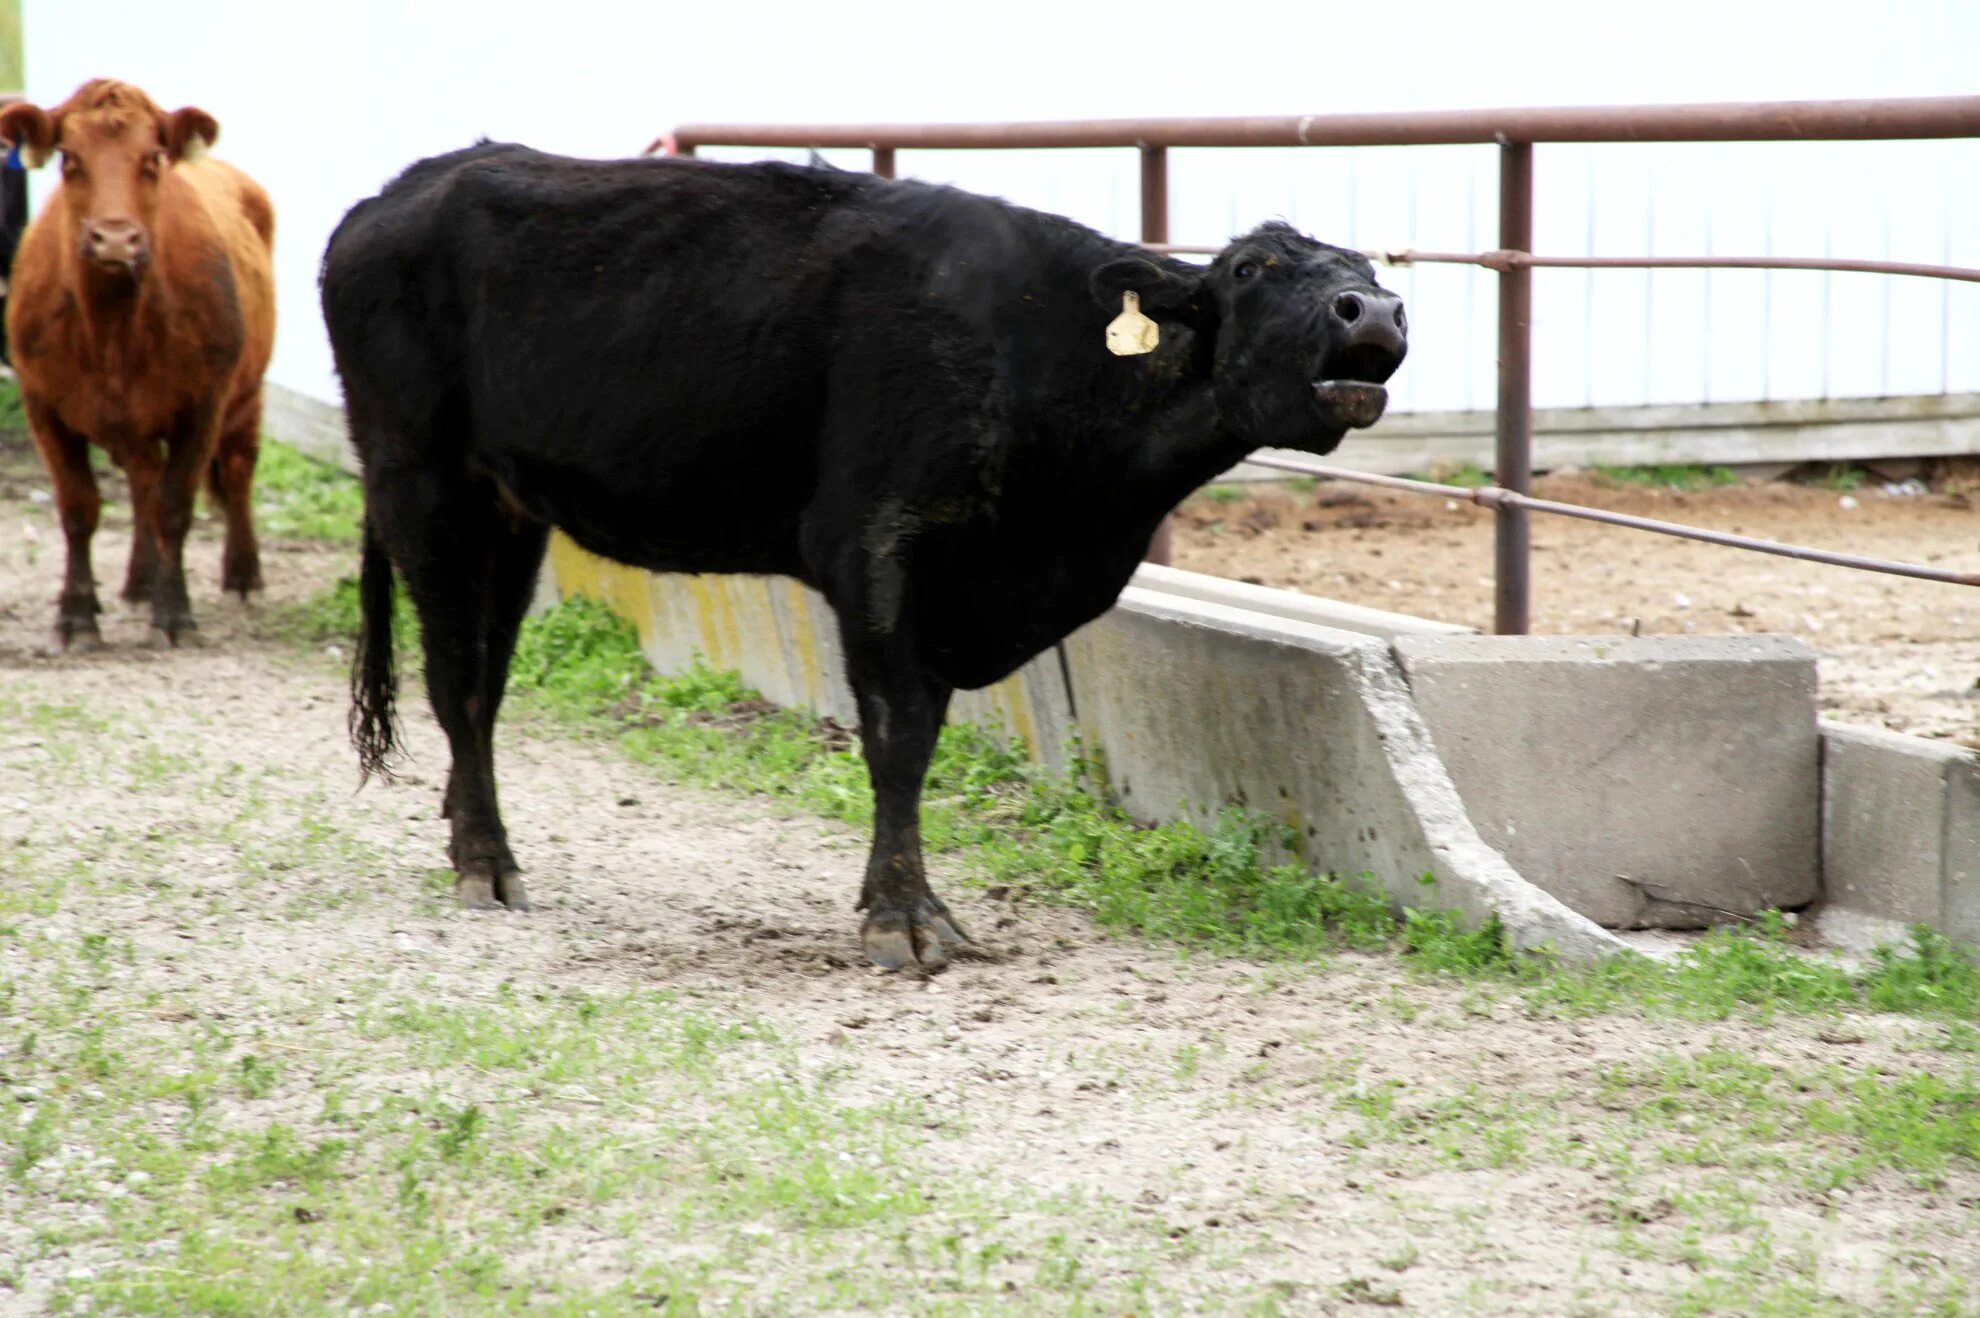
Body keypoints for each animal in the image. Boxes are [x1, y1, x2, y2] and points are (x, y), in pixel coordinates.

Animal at [0, 79, 275, 645]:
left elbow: (174, 507)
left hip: (246, 395)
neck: (113, 331)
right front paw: (77, 614)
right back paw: (139, 581)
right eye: (69, 157)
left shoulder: (203, 405)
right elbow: (79, 507)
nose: (115, 238)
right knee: (142, 479)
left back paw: (241, 575)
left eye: (152, 157)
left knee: (237, 470)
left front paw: (174, 612)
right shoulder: (43, 406)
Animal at [320, 143, 1409, 969]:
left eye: (1369, 277)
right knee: (456, 675)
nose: (1374, 313)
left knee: (486, 678)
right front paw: (905, 918)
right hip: (423, 480)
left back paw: (473, 837)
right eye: (1250, 271)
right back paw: (485, 862)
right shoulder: (877, 546)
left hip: (511, 510)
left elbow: (917, 737)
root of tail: (401, 191)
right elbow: (900, 736)